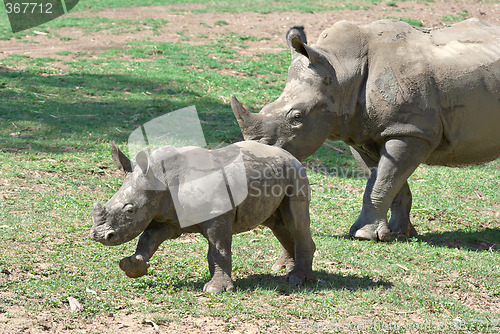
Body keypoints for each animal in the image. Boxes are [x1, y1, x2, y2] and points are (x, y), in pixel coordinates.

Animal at [92, 141, 314, 292]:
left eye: (130, 210)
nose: (100, 236)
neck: (161, 178)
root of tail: (290, 155)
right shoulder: (166, 216)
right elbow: (147, 239)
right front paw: (132, 266)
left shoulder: (218, 213)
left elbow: (217, 250)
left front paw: (216, 289)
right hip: (275, 173)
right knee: (278, 225)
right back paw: (283, 268)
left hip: (295, 173)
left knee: (295, 223)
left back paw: (297, 279)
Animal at [232, 18, 500, 241]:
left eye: (297, 117)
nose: (257, 159)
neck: (341, 71)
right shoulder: (362, 132)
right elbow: (387, 179)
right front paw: (398, 233)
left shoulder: (411, 130)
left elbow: (383, 180)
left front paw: (363, 235)